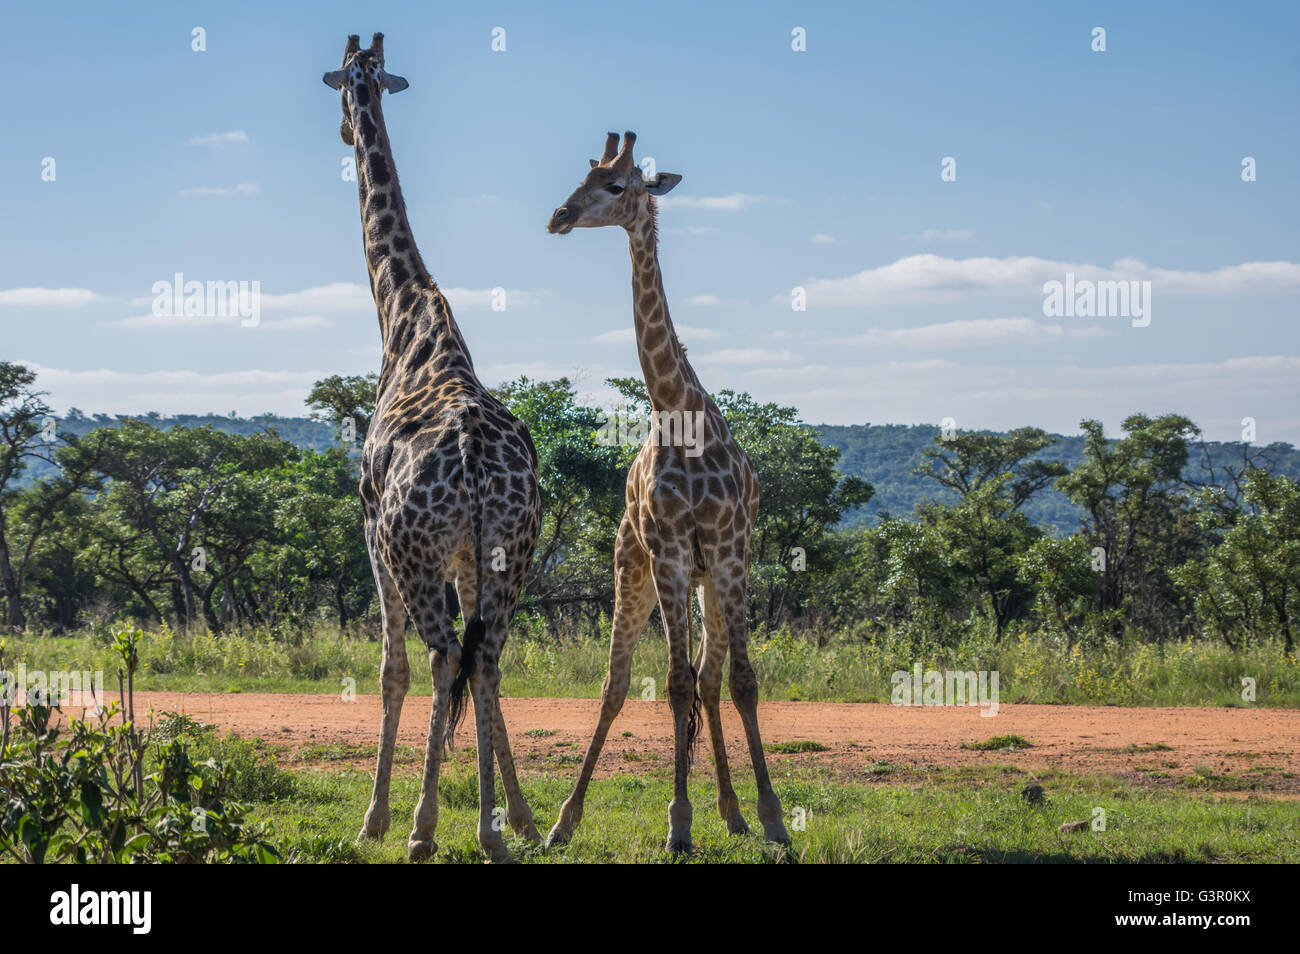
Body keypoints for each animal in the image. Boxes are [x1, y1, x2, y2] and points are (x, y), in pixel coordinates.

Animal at [327, 35, 546, 868]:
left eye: (337, 88)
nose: (345, 129)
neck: (403, 312)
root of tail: (480, 466)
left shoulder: (369, 528)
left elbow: (389, 668)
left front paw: (375, 818)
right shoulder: (469, 554)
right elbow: (488, 673)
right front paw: (519, 817)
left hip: (415, 552)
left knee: (443, 656)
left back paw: (425, 828)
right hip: (512, 549)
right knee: (487, 656)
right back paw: (494, 831)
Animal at [540, 130, 785, 857]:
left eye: (618, 186)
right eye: (583, 178)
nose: (559, 217)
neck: (677, 409)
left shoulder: (728, 554)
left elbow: (739, 682)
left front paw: (770, 817)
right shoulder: (673, 555)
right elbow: (672, 686)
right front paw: (679, 824)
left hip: (709, 580)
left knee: (710, 679)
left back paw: (732, 813)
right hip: (634, 569)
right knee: (619, 683)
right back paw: (564, 820)